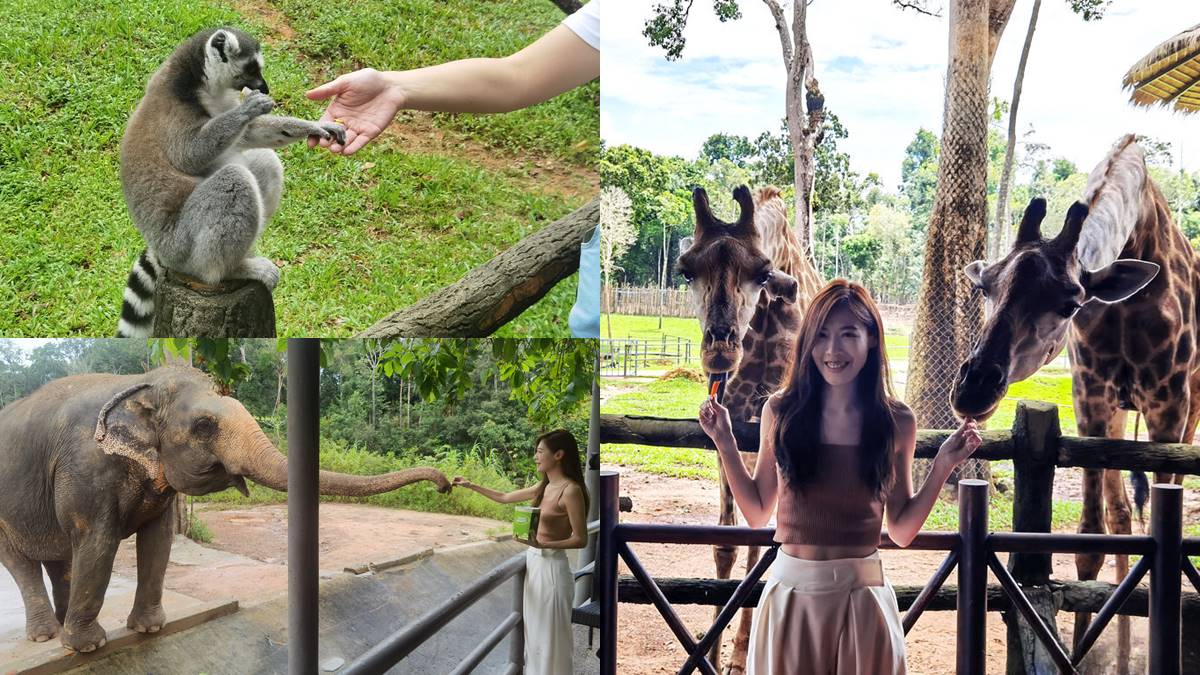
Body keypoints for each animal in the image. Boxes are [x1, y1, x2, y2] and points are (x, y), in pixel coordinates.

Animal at [0, 365, 451, 648]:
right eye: (203, 426)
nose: (447, 484)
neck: (140, 382)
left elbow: (158, 542)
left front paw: (150, 629)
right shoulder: (84, 467)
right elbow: (97, 542)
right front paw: (88, 647)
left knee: (60, 558)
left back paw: (60, 626)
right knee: (25, 562)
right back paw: (48, 637)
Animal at [681, 182, 820, 667]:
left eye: (762, 275)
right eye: (687, 272)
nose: (718, 351)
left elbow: (764, 546)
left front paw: (739, 658)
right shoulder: (731, 432)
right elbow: (726, 544)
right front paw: (711, 650)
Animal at [950, 133, 1185, 662]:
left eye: (1072, 302)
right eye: (985, 286)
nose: (972, 389)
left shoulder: (1170, 407)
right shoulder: (1091, 401)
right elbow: (1090, 541)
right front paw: (1082, 651)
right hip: (1119, 417)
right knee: (1121, 517)